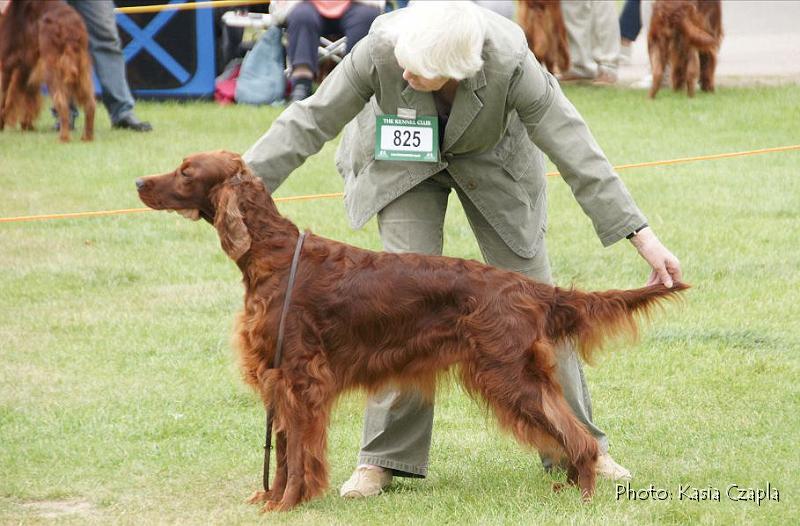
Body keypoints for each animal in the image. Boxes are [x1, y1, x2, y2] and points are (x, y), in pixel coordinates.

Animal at [0, 0, 94, 142]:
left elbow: (4, 99)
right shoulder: (26, 69)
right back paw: (87, 137)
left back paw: (64, 138)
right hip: (82, 68)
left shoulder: (7, 64)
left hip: (52, 68)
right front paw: (26, 125)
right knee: (90, 103)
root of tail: (70, 26)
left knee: (62, 102)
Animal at [138, 152, 688, 512]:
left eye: (186, 171)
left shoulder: (298, 377)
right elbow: (285, 445)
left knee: (577, 435)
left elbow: (295, 453)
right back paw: (572, 486)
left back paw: (587, 492)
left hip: (508, 374)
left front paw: (287, 503)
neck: (272, 255)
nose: (140, 180)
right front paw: (271, 498)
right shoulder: (279, 377)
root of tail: (526, 287)